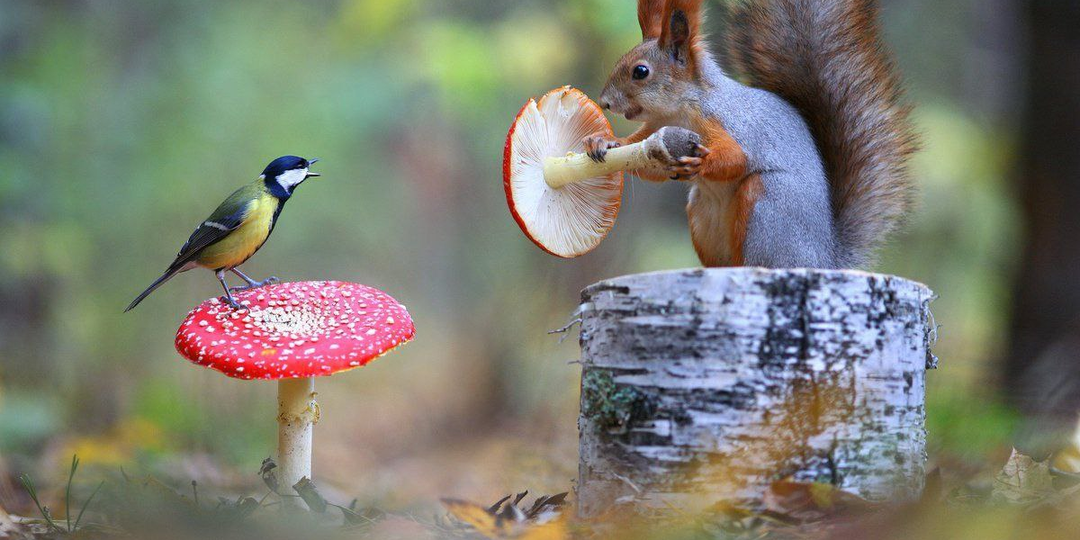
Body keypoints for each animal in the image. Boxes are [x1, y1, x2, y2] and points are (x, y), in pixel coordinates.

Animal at [587, 0, 915, 268]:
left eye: (640, 72)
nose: (605, 102)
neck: (680, 109)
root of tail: (823, 260)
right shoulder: (656, 131)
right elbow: (644, 161)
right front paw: (603, 141)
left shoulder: (728, 122)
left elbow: (737, 158)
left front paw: (702, 164)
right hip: (703, 216)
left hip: (766, 205)